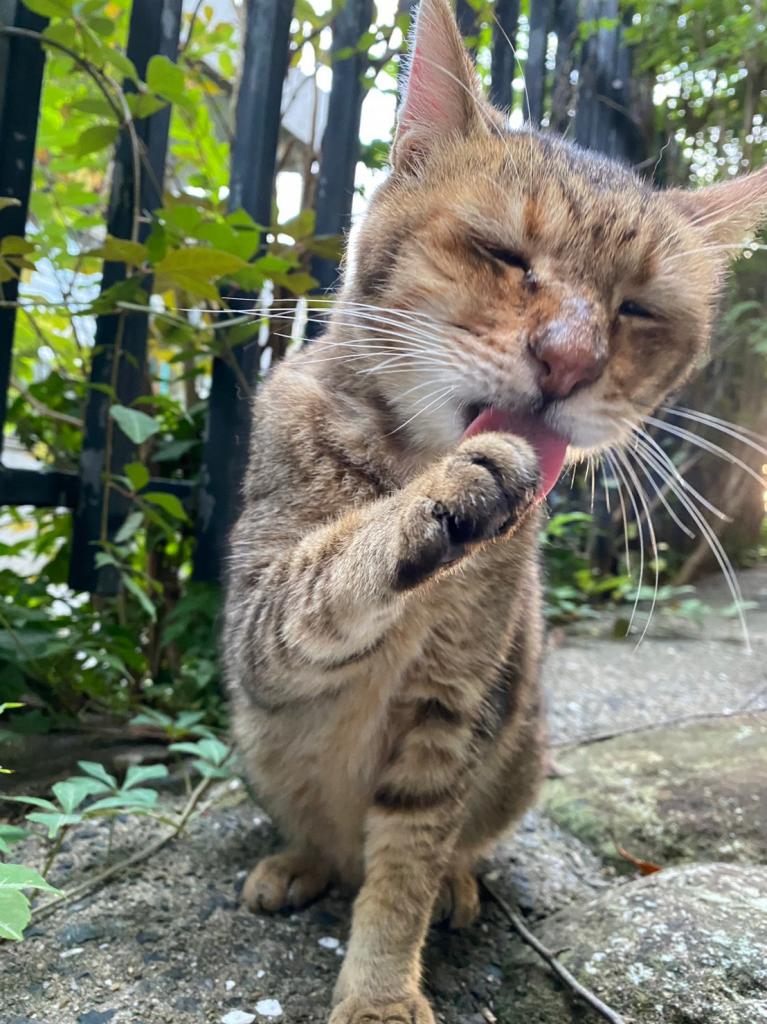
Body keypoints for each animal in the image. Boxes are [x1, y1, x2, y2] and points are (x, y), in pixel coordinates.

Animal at [221, 0, 765, 1019]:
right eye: (502, 255)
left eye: (636, 309)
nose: (569, 359)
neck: (406, 452)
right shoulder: (254, 622)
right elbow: (324, 574)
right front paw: (436, 501)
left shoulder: (454, 707)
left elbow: (405, 864)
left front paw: (380, 988)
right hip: (258, 741)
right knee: (319, 835)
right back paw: (299, 860)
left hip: (515, 750)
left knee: (443, 848)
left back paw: (458, 885)